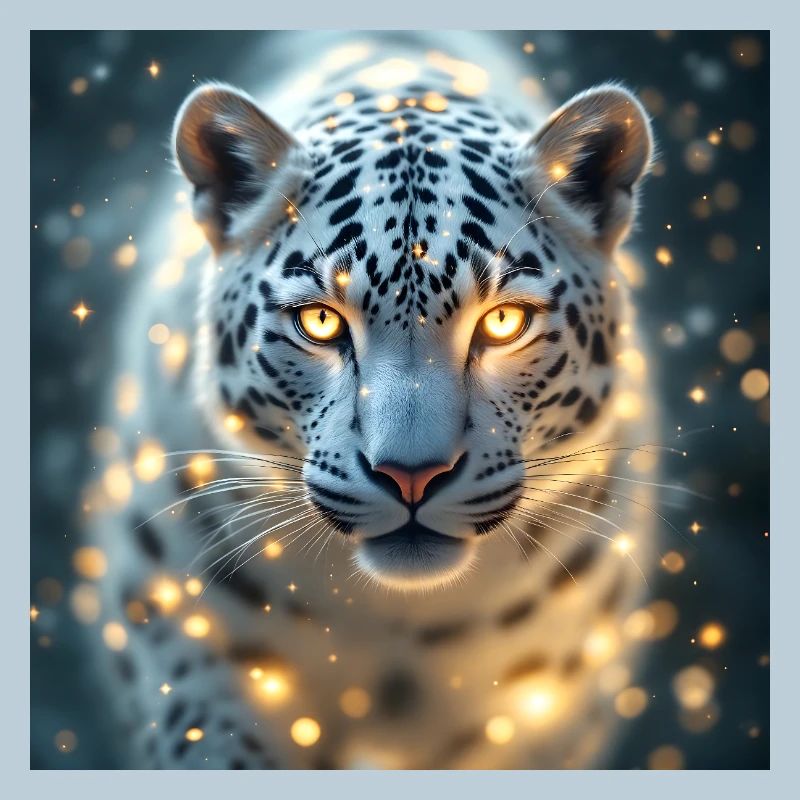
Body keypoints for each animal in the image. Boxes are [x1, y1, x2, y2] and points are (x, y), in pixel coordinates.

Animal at [87, 33, 661, 769]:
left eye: (505, 322)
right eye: (320, 322)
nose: (410, 475)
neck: (402, 630)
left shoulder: (548, 704)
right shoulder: (179, 636)